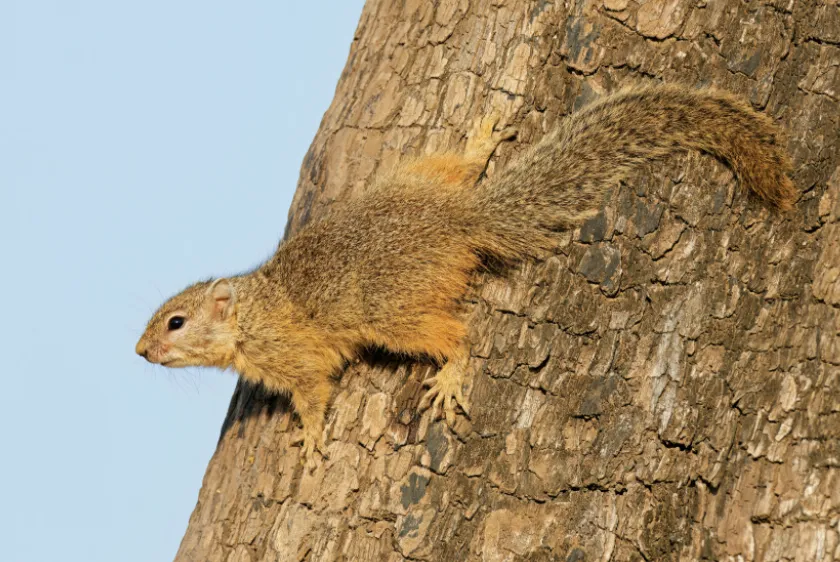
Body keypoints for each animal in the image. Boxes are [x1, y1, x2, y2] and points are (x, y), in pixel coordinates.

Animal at [136, 84, 796, 467]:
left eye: (176, 322)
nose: (140, 351)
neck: (252, 314)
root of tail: (460, 221)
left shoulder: (298, 358)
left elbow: (316, 396)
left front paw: (312, 437)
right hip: (416, 177)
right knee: (457, 169)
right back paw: (480, 143)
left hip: (391, 310)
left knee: (456, 334)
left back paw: (450, 376)